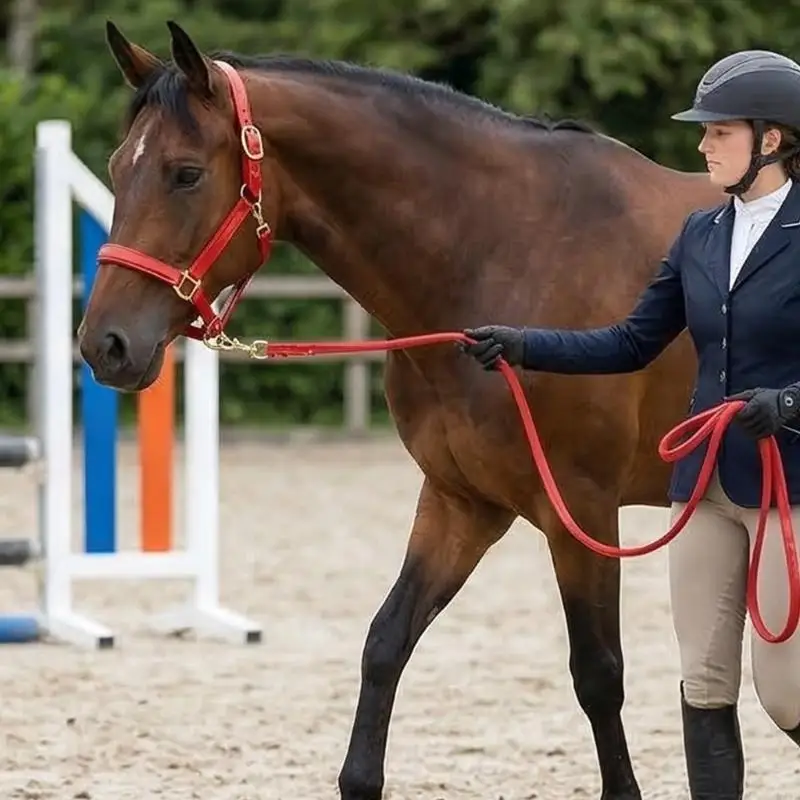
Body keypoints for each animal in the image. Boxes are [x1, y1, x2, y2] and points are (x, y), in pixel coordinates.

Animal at [76, 19, 725, 799]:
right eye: (117, 168)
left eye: (185, 174)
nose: (105, 344)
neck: (508, 251)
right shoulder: (461, 502)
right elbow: (386, 641)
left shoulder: (582, 511)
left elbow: (598, 675)